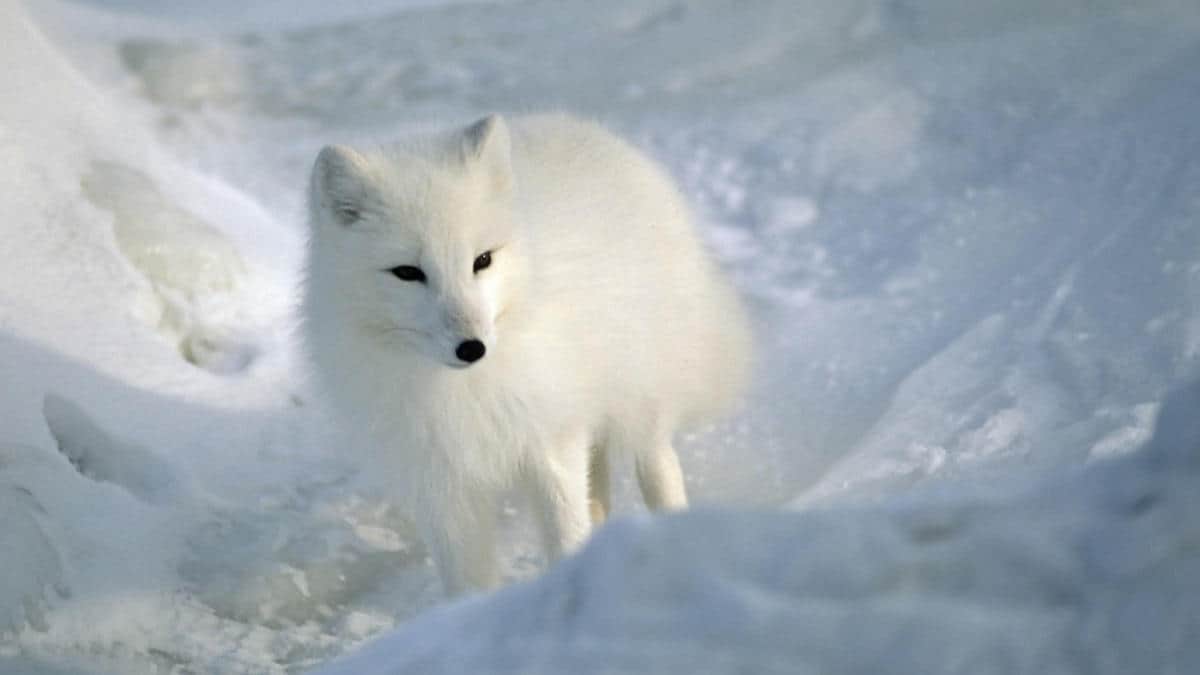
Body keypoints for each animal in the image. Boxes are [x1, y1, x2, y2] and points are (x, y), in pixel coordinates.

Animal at [302, 113, 751, 596]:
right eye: (407, 272)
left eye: (482, 260)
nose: (472, 348)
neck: (460, 389)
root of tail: (585, 126)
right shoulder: (443, 484)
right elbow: (468, 579)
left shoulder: (551, 444)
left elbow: (566, 535)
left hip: (640, 396)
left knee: (658, 466)